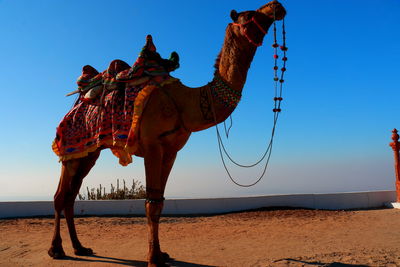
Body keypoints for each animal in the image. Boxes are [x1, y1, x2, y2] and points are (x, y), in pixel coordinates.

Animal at [48, 1, 286, 266]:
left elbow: (160, 202)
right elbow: (151, 204)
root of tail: (77, 100)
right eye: (250, 14)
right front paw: (153, 259)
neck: (184, 102)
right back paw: (57, 250)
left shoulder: (171, 151)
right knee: (60, 195)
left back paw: (80, 247)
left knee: (70, 195)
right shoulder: (152, 146)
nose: (276, 6)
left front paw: (161, 254)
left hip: (89, 153)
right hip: (72, 150)